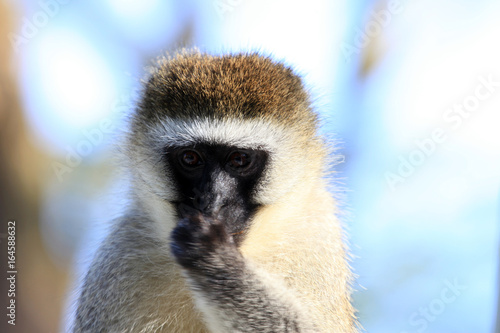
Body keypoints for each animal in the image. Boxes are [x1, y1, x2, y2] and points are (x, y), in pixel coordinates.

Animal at [72, 50, 358, 330]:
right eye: (190, 158)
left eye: (239, 159)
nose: (213, 200)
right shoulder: (122, 252)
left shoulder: (316, 236)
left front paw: (217, 263)